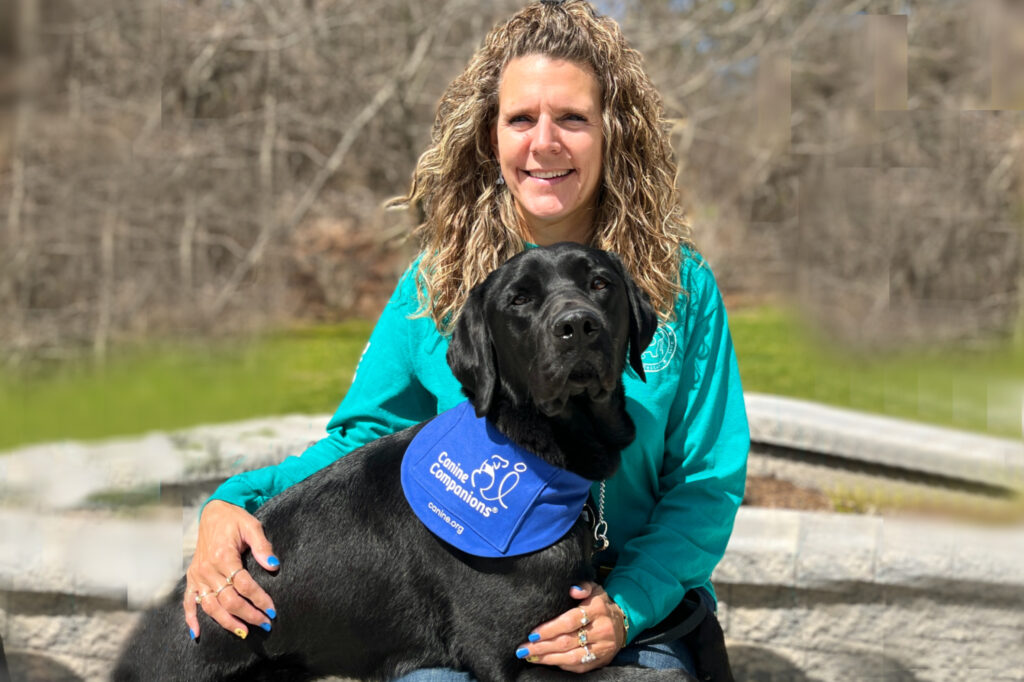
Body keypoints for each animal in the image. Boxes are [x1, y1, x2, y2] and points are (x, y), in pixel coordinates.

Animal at [116, 242, 696, 679]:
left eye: (600, 283)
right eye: (519, 299)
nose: (578, 326)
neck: (533, 447)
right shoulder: (512, 653)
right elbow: (645, 676)